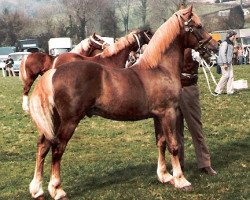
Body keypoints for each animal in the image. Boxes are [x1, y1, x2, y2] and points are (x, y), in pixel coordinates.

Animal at [28, 5, 217, 199]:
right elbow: (173, 145)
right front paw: (181, 180)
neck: (159, 68)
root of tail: (54, 72)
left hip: (54, 121)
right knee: (58, 149)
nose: (214, 47)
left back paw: (37, 189)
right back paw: (57, 189)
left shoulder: (158, 116)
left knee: (43, 146)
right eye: (198, 26)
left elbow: (161, 142)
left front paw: (164, 176)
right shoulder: (169, 113)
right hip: (69, 121)